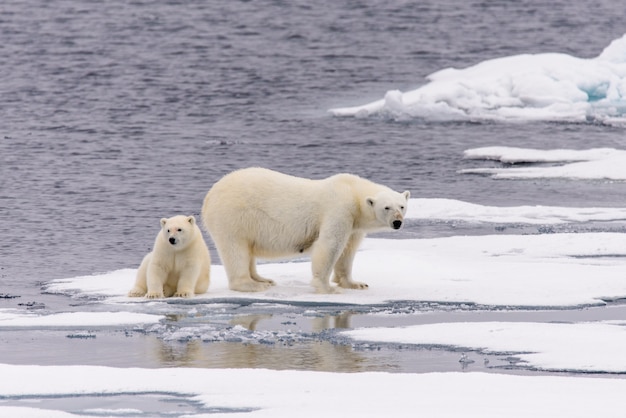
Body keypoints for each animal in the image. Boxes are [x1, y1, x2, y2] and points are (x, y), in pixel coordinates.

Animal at [200, 167, 410, 294]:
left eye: (401, 206)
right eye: (386, 207)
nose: (397, 222)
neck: (352, 190)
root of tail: (209, 197)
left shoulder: (354, 223)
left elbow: (348, 251)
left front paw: (355, 284)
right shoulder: (339, 209)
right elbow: (330, 245)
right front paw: (327, 288)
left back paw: (263, 279)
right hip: (233, 216)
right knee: (236, 249)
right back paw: (251, 285)